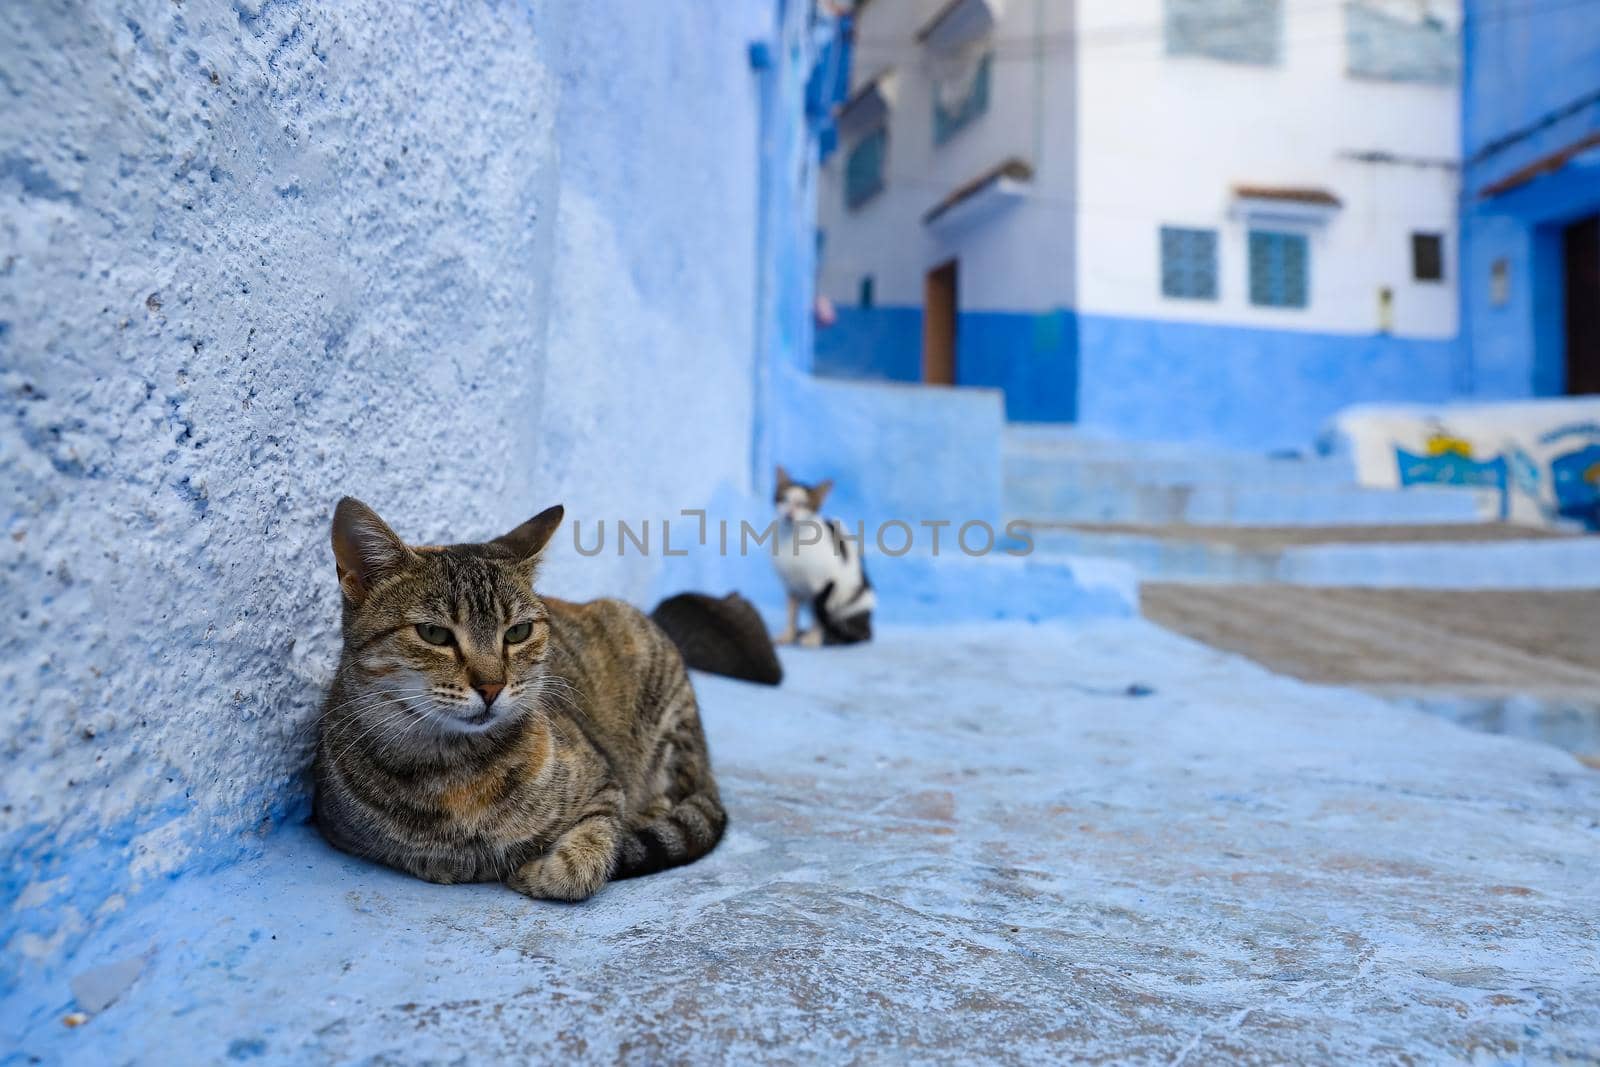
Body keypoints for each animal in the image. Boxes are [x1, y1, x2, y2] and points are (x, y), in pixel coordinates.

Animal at [312, 495, 726, 895]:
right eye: (433, 633)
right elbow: (427, 855)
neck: (457, 769)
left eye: (518, 632)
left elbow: (589, 851)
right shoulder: (339, 829)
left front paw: (540, 870)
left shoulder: (604, 786)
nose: (491, 686)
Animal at [771, 470, 876, 652]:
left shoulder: (823, 585)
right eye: (784, 499)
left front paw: (813, 639)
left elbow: (816, 618)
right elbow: (792, 614)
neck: (792, 539)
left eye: (803, 504)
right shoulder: (791, 586)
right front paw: (788, 636)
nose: (789, 514)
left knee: (854, 632)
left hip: (853, 605)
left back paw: (830, 637)